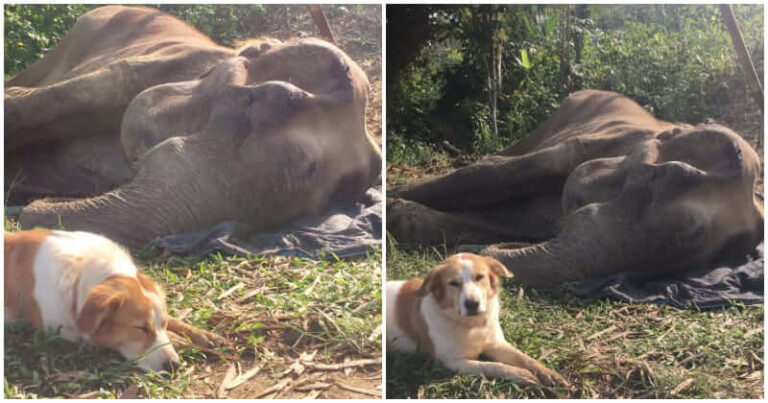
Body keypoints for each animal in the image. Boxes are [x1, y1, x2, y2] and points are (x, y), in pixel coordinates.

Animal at [388, 252, 568, 388]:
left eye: (480, 277)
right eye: (453, 283)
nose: (472, 304)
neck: (472, 325)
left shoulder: (497, 344)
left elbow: (524, 358)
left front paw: (548, 373)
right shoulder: (453, 362)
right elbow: (490, 366)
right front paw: (520, 374)